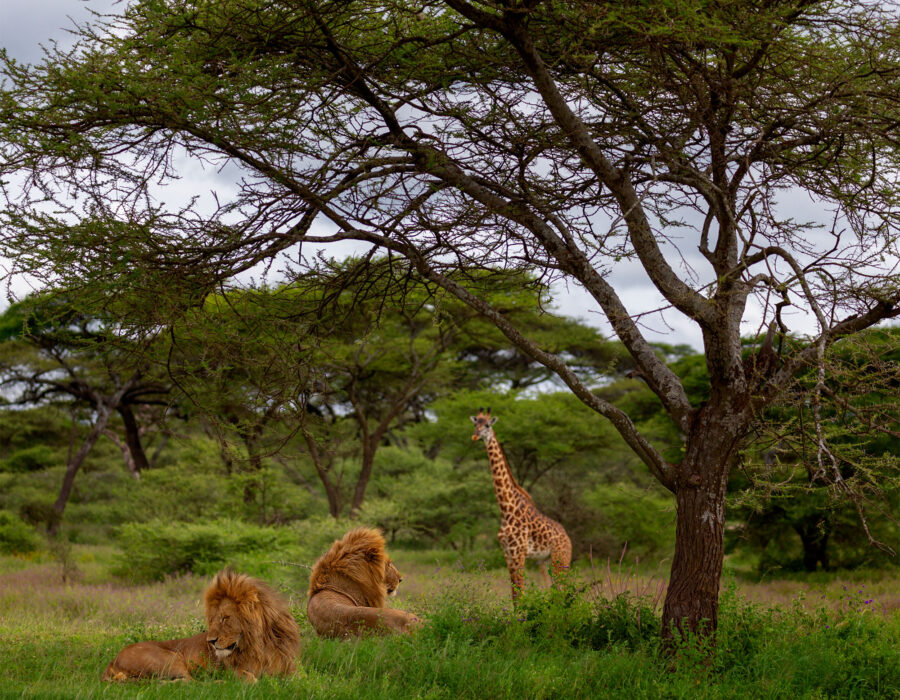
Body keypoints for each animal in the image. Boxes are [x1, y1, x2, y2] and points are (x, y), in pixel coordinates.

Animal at [101, 568, 298, 680]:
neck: (259, 644)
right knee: (188, 684)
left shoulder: (290, 669)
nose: (210, 641)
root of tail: (114, 659)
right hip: (170, 659)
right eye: (213, 619)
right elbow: (251, 679)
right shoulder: (232, 670)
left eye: (225, 618)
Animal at [468, 408, 572, 600]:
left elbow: (520, 593)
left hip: (561, 559)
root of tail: (567, 537)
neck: (506, 509)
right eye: (475, 423)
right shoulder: (508, 554)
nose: (475, 435)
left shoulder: (519, 553)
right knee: (553, 590)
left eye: (487, 425)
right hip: (544, 561)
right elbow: (514, 594)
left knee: (565, 590)